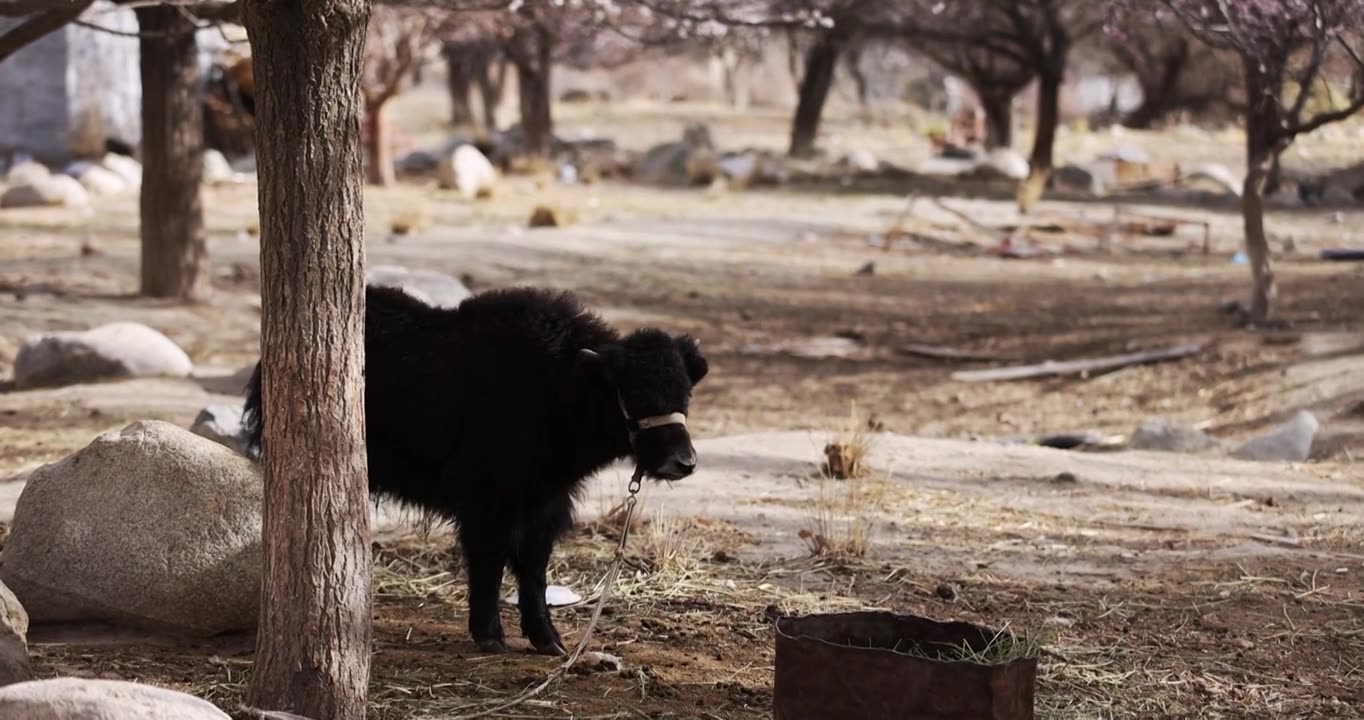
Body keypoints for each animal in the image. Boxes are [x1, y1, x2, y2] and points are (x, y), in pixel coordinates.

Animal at [244, 283, 709, 654]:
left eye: (685, 393)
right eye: (637, 393)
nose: (684, 462)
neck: (561, 388)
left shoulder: (545, 505)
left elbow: (533, 569)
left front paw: (549, 640)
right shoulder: (489, 503)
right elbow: (490, 560)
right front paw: (489, 636)